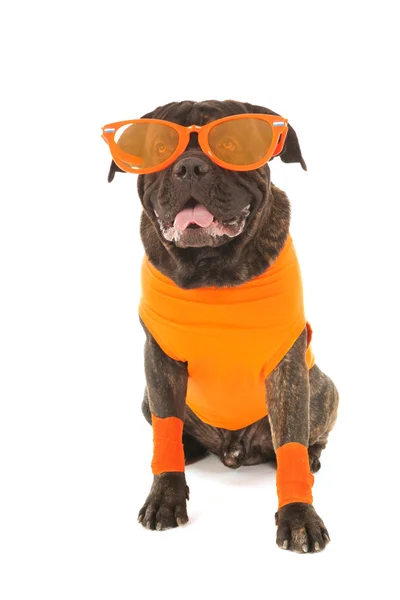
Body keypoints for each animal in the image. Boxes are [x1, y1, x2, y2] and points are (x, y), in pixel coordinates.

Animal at [105, 99, 338, 552]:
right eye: (161, 149)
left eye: (230, 145)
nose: (190, 167)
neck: (210, 268)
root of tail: (233, 450)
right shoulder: (159, 362)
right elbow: (164, 433)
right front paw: (165, 497)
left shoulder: (288, 369)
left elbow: (291, 439)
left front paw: (298, 516)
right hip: (146, 398)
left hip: (322, 387)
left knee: (306, 435)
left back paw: (313, 456)